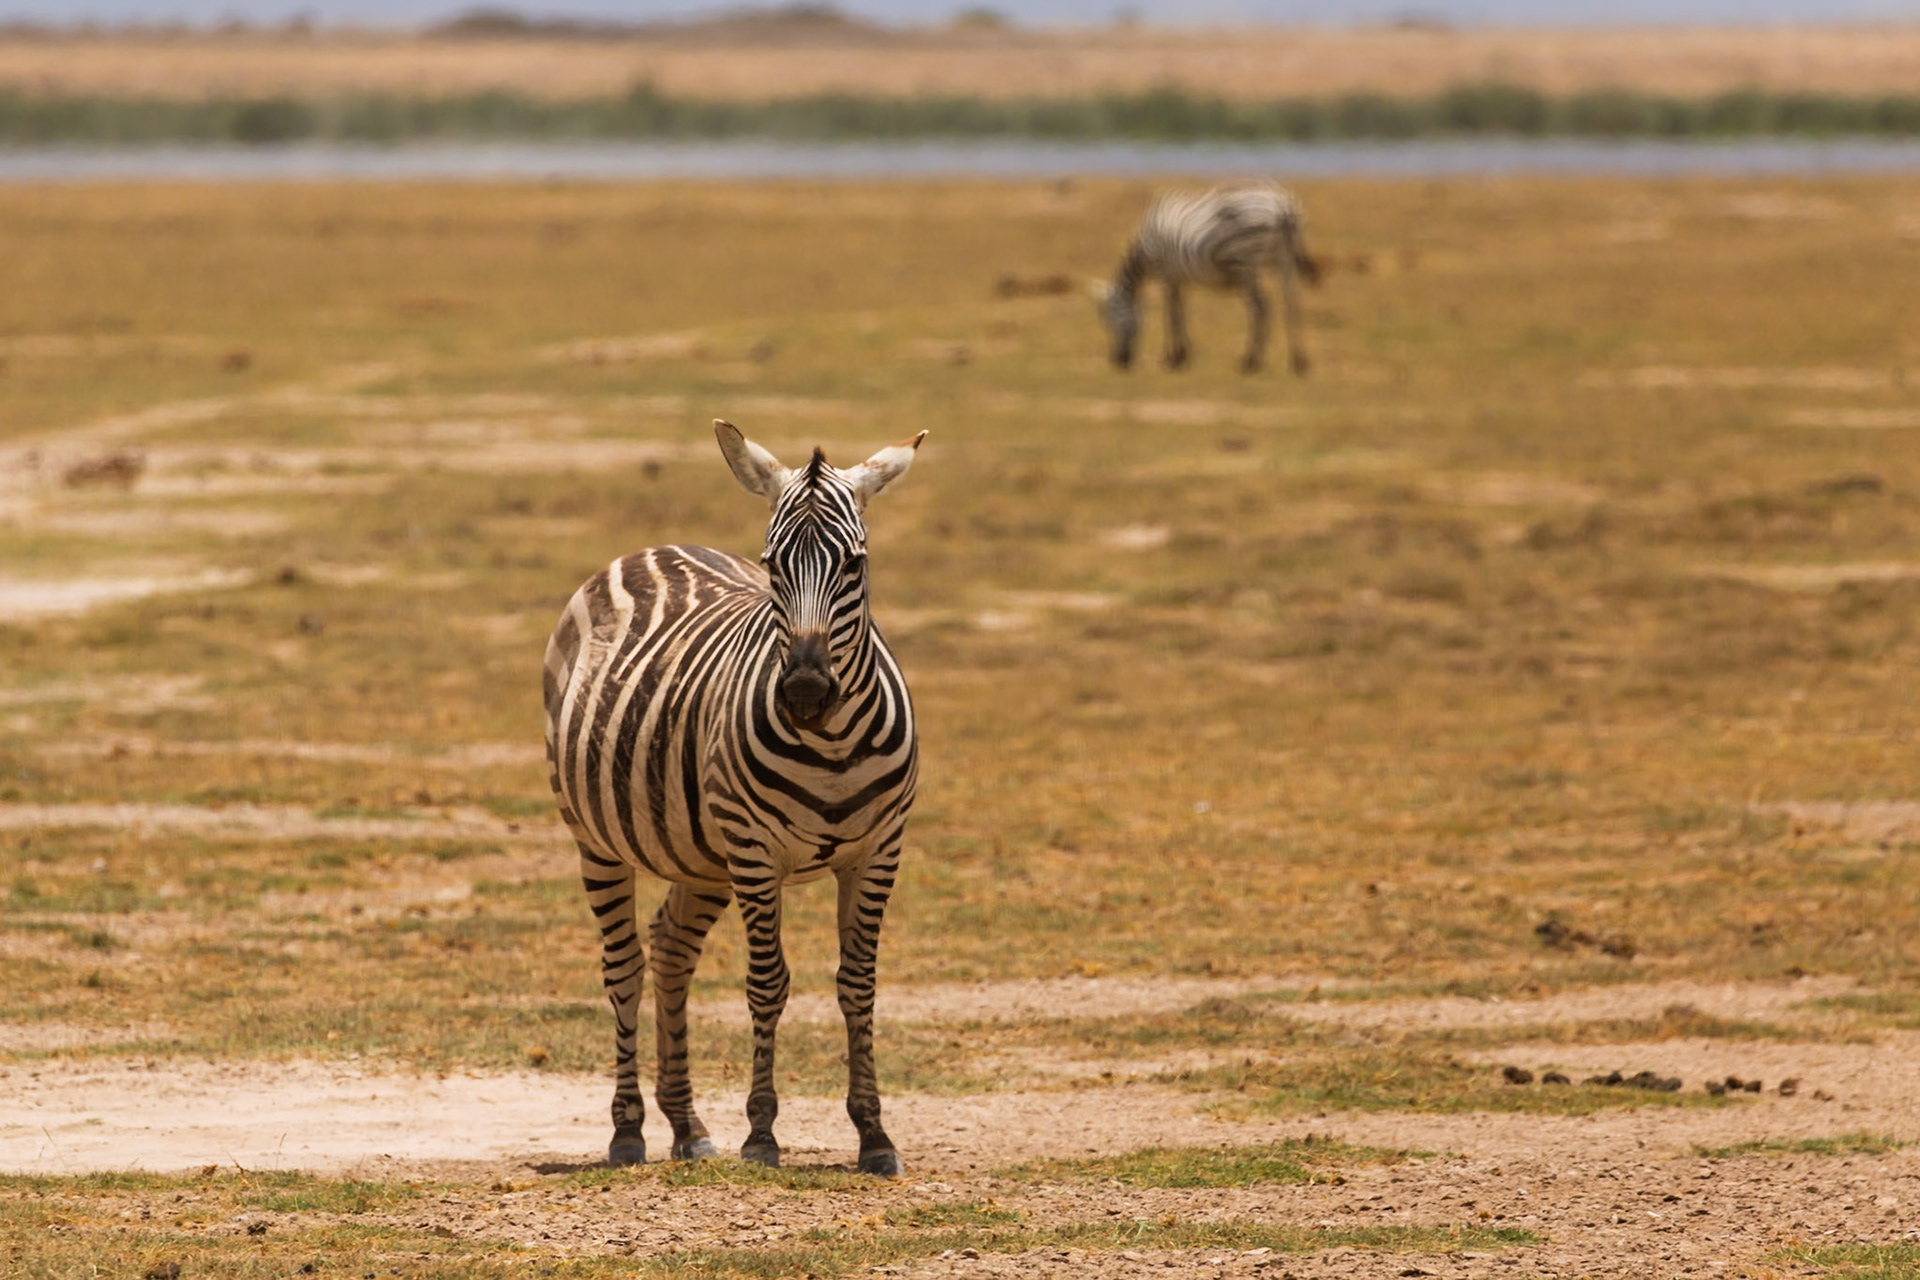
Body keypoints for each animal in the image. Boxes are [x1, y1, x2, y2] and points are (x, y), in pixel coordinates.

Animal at [543, 419, 925, 1177]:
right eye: (772, 565)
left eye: (855, 566)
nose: (805, 691)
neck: (831, 744)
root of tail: (653, 548)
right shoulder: (755, 852)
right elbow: (768, 982)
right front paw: (762, 1134)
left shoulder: (877, 852)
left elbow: (858, 983)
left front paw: (874, 1134)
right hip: (599, 839)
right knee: (624, 967)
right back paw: (629, 1130)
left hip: (701, 855)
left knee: (670, 950)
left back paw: (686, 1125)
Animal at [1097, 181, 1323, 375]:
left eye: (1110, 320)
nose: (1119, 362)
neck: (1145, 247)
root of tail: (1282, 207)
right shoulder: (1178, 277)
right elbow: (1181, 311)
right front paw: (1183, 355)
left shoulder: (1165, 273)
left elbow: (1171, 314)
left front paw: (1173, 358)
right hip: (1284, 260)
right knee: (1292, 304)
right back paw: (1299, 362)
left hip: (1245, 264)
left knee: (1260, 308)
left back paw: (1250, 361)